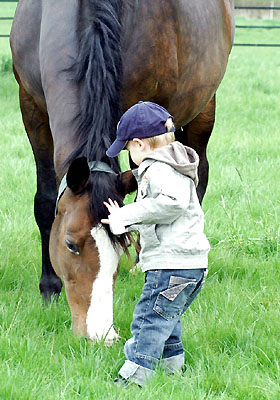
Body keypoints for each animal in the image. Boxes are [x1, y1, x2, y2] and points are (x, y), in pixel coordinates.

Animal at [9, 0, 234, 344]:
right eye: (70, 244)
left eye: (118, 248)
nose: (99, 334)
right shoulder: (31, 107)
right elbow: (45, 202)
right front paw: (49, 288)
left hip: (202, 110)